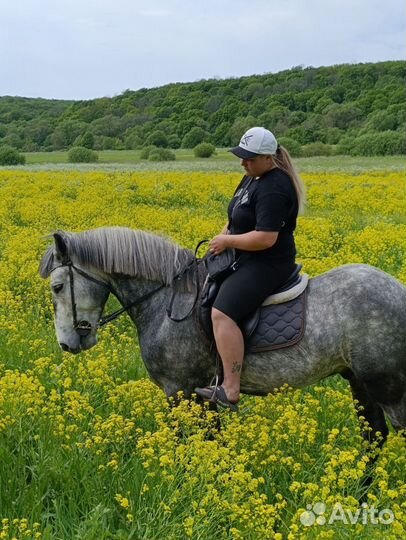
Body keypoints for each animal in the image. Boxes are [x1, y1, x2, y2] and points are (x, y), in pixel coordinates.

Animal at [38, 228, 406, 448]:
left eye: (57, 287)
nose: (67, 343)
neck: (167, 298)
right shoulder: (202, 392)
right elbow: (214, 442)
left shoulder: (178, 390)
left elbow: (189, 443)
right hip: (358, 381)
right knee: (374, 439)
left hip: (388, 387)